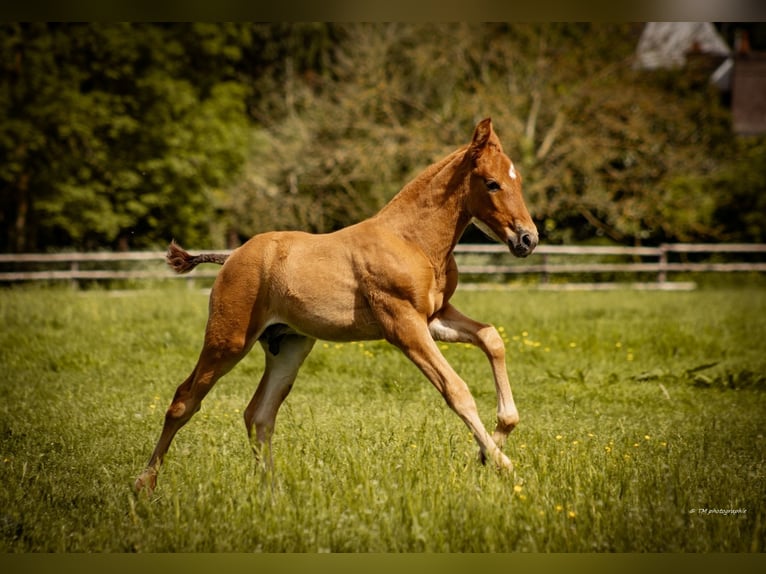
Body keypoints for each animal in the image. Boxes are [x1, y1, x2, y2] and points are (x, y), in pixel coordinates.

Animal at [134, 118, 540, 496]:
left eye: (518, 180)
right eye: (492, 183)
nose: (528, 239)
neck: (412, 241)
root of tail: (232, 256)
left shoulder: (435, 317)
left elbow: (491, 338)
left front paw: (492, 445)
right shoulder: (403, 325)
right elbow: (457, 390)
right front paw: (504, 465)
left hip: (289, 346)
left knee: (258, 414)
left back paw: (272, 490)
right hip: (228, 340)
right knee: (185, 400)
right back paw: (145, 483)